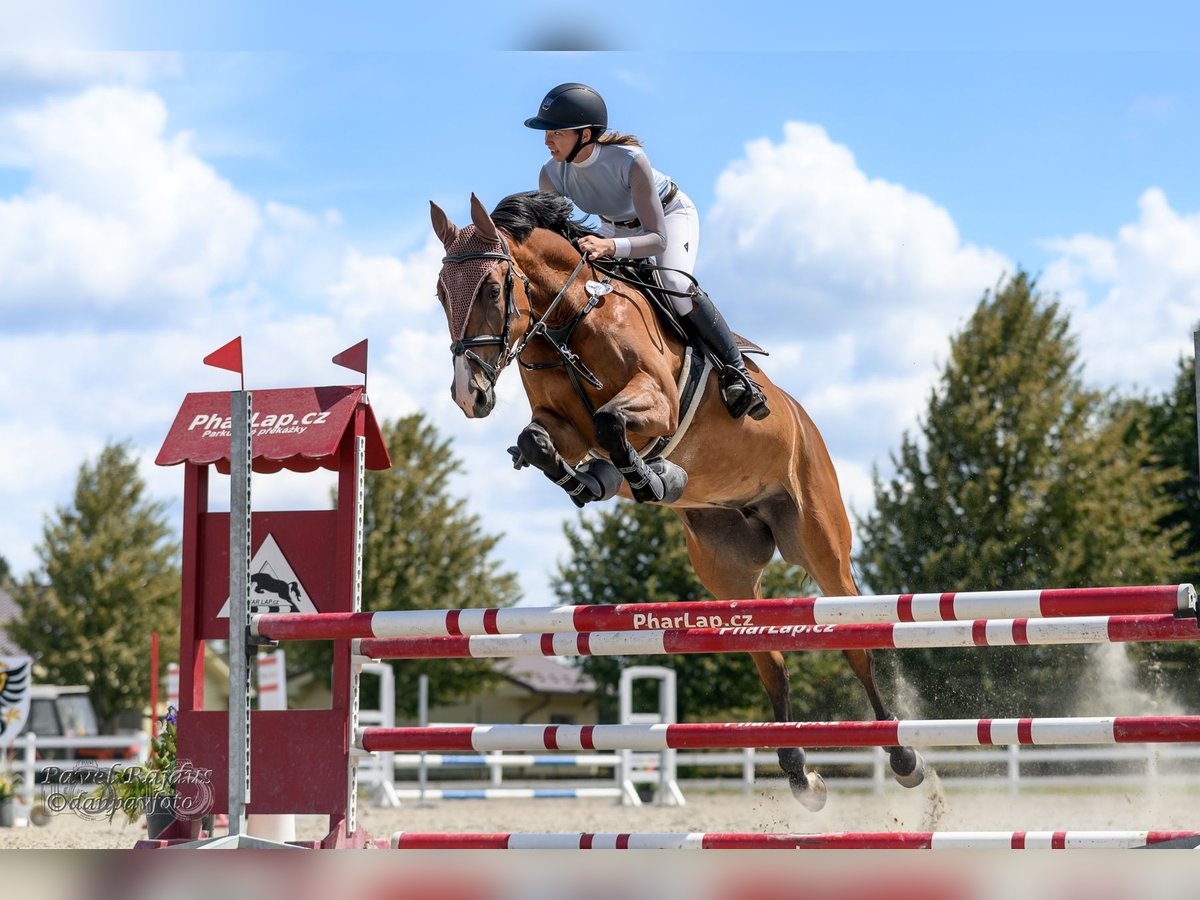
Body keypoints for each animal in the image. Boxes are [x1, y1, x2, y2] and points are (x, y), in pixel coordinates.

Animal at [432, 190, 926, 811]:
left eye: (494, 289)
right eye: (440, 293)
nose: (466, 394)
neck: (567, 322)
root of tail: (805, 421)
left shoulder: (658, 403)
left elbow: (611, 421)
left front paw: (655, 478)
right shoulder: (561, 426)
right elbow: (540, 442)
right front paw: (601, 481)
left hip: (822, 544)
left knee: (855, 644)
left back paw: (904, 759)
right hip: (725, 570)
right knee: (770, 659)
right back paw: (799, 775)